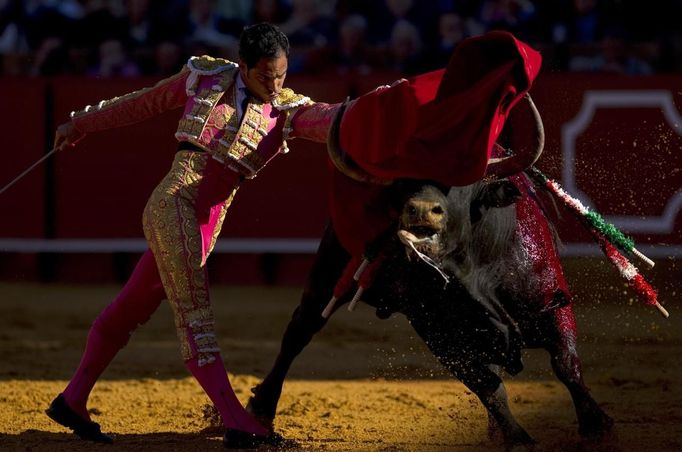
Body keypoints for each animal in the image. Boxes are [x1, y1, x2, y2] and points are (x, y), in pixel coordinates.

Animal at [247, 175, 612, 446]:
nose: (421, 212)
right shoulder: (442, 337)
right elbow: (488, 386)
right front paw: (517, 439)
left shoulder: (551, 305)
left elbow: (565, 364)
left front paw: (597, 427)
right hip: (326, 275)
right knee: (298, 332)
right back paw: (261, 411)